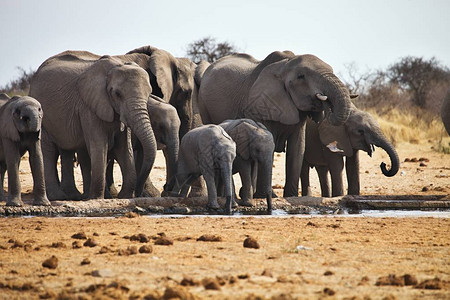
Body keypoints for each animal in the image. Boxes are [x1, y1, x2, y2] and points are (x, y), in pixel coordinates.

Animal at [29, 51, 156, 200]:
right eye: (117, 94)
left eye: (149, 94)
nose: (138, 194)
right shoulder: (88, 107)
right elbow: (99, 145)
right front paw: (97, 197)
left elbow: (125, 147)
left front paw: (124, 196)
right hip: (42, 116)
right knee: (49, 151)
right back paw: (59, 197)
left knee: (66, 150)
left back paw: (74, 195)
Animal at [196, 51, 352, 197]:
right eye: (301, 76)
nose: (325, 101)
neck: (284, 65)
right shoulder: (259, 106)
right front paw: (265, 195)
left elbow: (297, 147)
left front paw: (291, 196)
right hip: (203, 104)